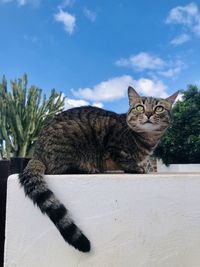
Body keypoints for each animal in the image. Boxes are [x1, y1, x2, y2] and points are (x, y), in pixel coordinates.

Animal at [18, 86, 178, 253]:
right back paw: (89, 169)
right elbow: (124, 159)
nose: (148, 114)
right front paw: (136, 167)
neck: (146, 140)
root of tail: (37, 153)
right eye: (140, 107)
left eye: (159, 108)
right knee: (58, 169)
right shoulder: (114, 144)